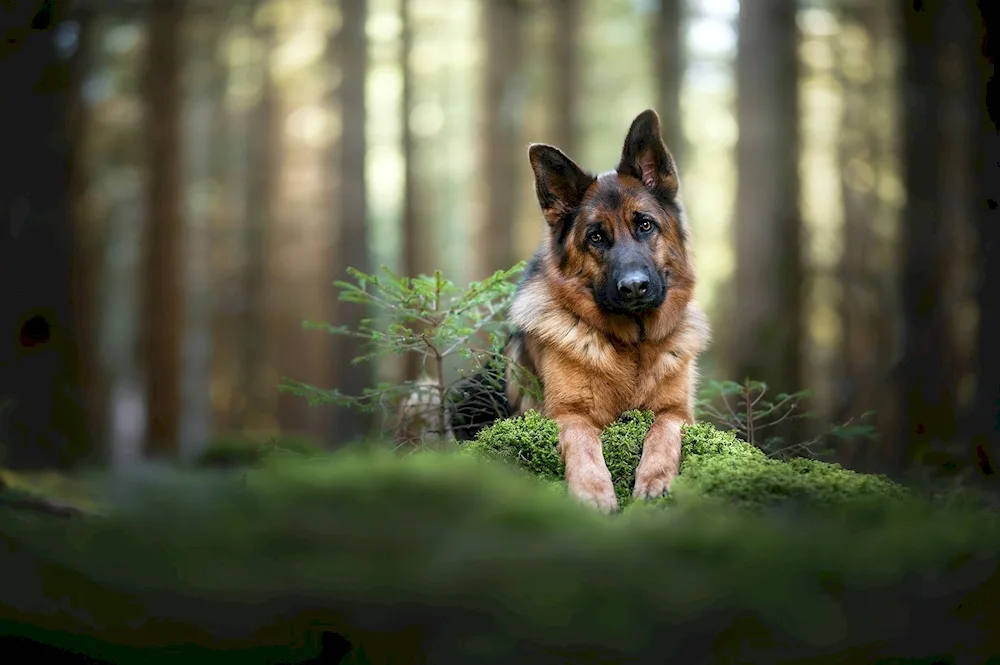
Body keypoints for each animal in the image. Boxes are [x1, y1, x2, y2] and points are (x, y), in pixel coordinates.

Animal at [450, 109, 708, 512]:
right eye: (596, 237)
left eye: (645, 225)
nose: (634, 287)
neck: (632, 347)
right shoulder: (567, 414)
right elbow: (583, 441)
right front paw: (592, 491)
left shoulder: (678, 412)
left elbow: (663, 431)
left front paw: (655, 480)